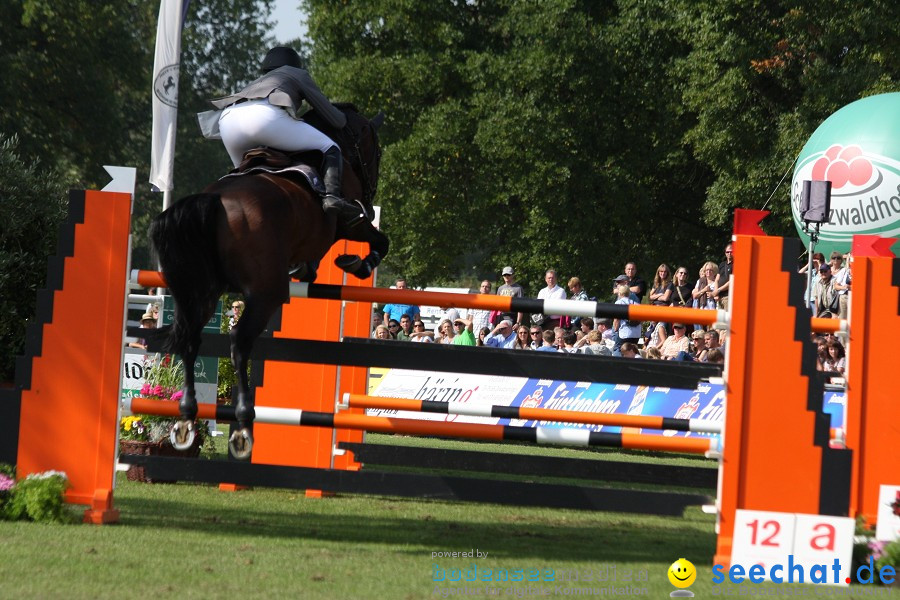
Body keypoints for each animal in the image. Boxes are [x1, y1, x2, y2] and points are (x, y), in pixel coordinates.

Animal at [149, 104, 386, 460]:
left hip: (202, 293)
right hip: (265, 294)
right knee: (238, 341)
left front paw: (309, 269)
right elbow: (379, 239)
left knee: (191, 339)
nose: (372, 195)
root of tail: (213, 200)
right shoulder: (351, 225)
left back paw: (187, 419)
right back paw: (243, 425)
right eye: (376, 154)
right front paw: (358, 263)